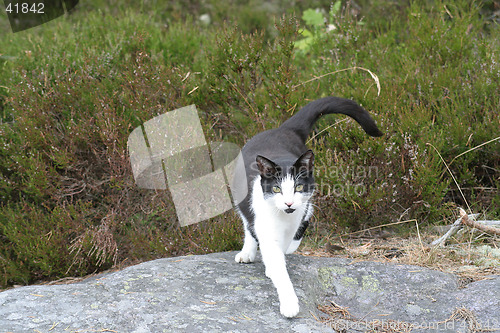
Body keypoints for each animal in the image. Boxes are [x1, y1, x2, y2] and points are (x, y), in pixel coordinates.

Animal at [232, 95, 380, 316]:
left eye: (298, 186)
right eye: (276, 189)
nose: (289, 202)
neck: (283, 217)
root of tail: (284, 129)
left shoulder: (296, 215)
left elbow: (284, 247)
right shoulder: (265, 224)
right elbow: (275, 260)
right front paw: (289, 303)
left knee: (307, 214)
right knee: (247, 223)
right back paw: (247, 253)